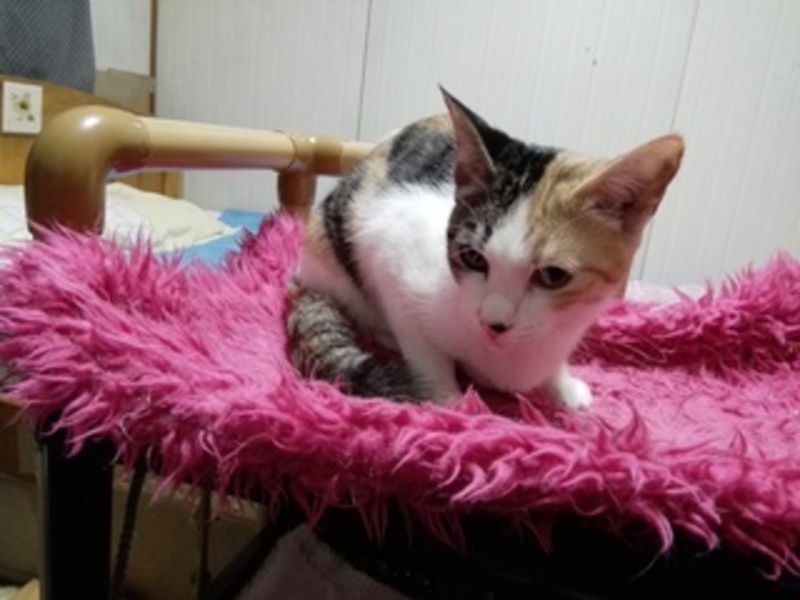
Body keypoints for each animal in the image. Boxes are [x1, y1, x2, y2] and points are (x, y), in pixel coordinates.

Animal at [287, 88, 683, 409]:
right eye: (472, 257)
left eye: (553, 276)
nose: (493, 322)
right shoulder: (389, 248)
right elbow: (423, 345)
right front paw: (450, 400)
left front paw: (563, 387)